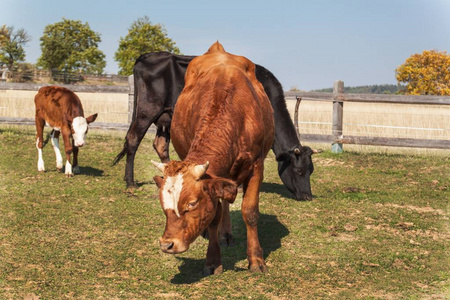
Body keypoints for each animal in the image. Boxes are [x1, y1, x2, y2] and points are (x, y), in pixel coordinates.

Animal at [112, 52, 316, 200]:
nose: (308, 196)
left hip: (165, 118)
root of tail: (147, 56)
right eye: (298, 170)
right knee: (133, 140)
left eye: (311, 170)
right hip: (147, 110)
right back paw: (130, 183)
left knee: (160, 145)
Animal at [150, 41, 274, 274]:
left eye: (191, 203)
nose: (167, 244)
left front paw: (256, 259)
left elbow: (250, 211)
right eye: (163, 204)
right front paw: (213, 259)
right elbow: (214, 217)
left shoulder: (256, 166)